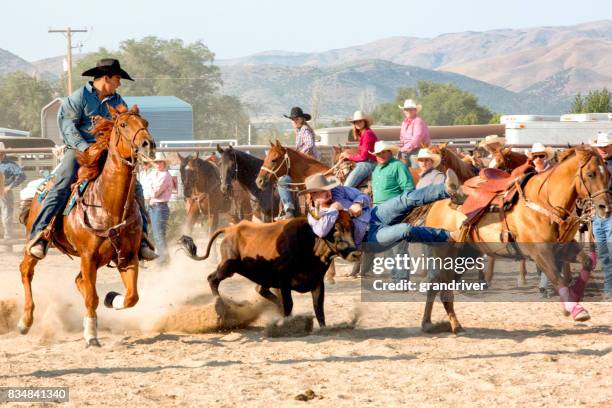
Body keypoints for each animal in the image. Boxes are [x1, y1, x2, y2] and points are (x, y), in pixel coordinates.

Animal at [19, 105, 155, 348]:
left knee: (79, 281)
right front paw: (91, 336)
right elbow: (92, 298)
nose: (148, 144)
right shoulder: (88, 257)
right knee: (26, 271)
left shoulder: (128, 257)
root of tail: (41, 188)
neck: (107, 204)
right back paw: (25, 321)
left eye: (145, 123)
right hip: (33, 242)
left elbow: (131, 297)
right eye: (123, 125)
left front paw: (112, 299)